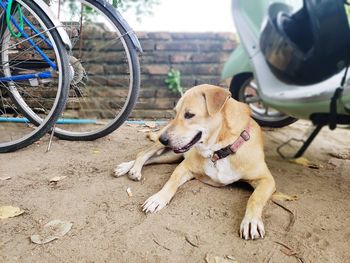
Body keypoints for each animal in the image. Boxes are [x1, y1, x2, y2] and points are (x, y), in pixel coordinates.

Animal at [116, 85, 278, 241]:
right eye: (175, 113)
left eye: (189, 115)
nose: (163, 139)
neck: (220, 149)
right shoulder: (184, 167)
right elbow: (170, 183)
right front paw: (158, 198)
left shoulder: (267, 180)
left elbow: (255, 198)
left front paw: (251, 221)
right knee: (143, 154)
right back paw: (131, 169)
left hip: (171, 155)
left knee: (150, 158)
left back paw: (128, 167)